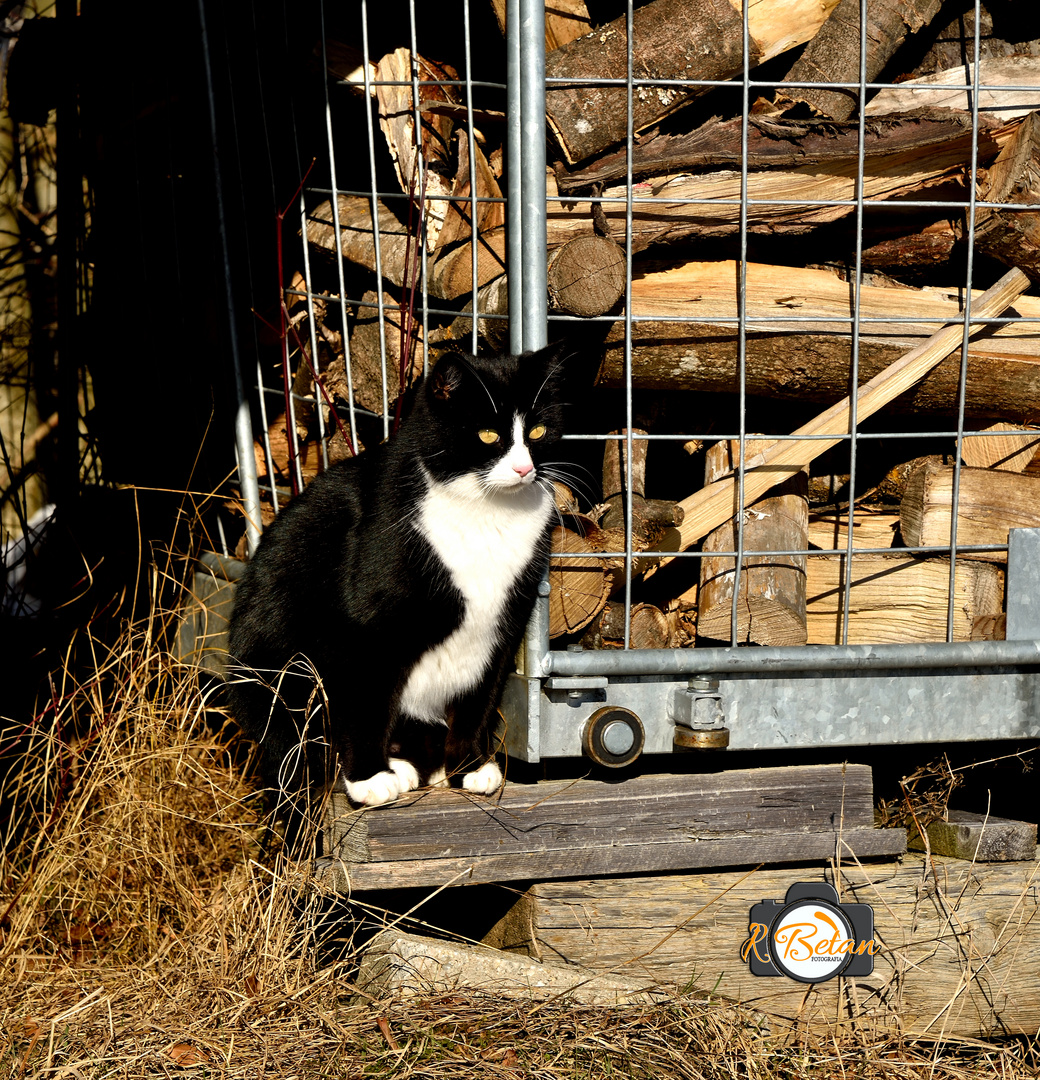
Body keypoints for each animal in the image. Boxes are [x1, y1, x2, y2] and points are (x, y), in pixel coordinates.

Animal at [228, 347, 570, 816]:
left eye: (537, 431)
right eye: (487, 434)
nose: (523, 468)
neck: (488, 513)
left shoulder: (504, 623)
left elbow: (478, 698)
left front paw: (468, 765)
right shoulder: (368, 627)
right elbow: (367, 701)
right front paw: (369, 777)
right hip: (277, 672)